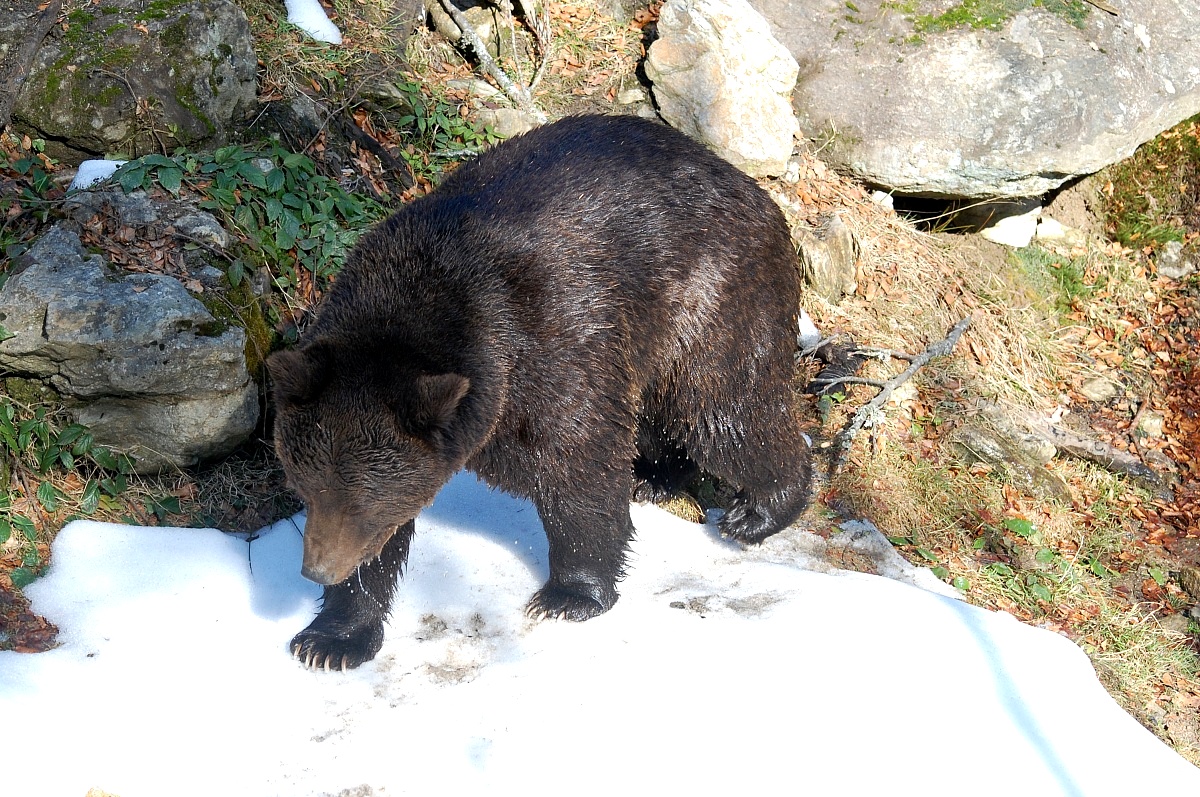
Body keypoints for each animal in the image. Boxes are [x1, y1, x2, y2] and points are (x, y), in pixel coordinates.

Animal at [270, 113, 816, 672]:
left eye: (363, 502)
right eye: (305, 488)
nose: (316, 569)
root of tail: (752, 189)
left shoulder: (553, 348)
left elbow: (578, 469)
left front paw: (569, 596)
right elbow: (380, 550)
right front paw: (331, 638)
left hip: (709, 296)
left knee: (725, 411)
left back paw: (758, 512)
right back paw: (656, 478)